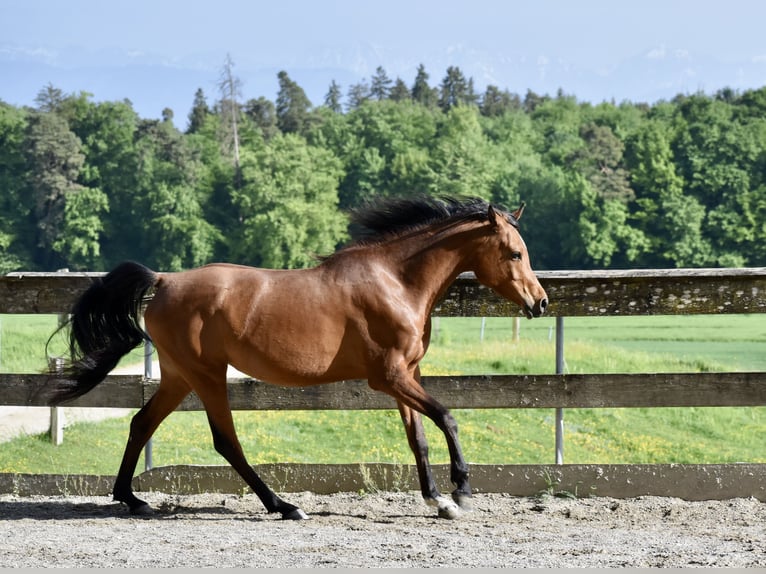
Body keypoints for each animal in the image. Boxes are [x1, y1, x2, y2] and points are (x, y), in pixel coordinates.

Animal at [45, 195, 548, 520]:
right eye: (514, 253)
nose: (540, 302)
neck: (396, 281)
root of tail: (164, 280)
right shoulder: (388, 377)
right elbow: (448, 417)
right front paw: (461, 493)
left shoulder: (406, 374)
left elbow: (419, 438)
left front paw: (436, 500)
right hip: (206, 375)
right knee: (225, 441)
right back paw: (284, 506)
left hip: (178, 376)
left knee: (141, 423)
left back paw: (132, 499)